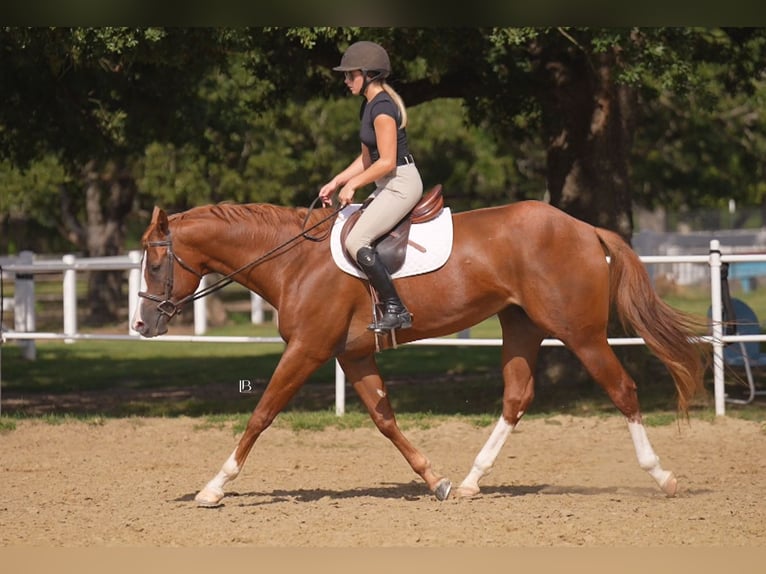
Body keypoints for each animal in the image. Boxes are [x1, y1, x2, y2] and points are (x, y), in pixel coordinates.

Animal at [132, 199, 707, 507]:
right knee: (516, 398)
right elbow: (385, 418)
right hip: (521, 326)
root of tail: (583, 227)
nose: (141, 325)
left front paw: (213, 487)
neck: (294, 261)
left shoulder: (307, 349)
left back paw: (663, 476)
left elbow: (261, 413)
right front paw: (437, 481)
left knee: (622, 389)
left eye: (156, 266)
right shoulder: (352, 356)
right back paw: (473, 481)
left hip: (580, 333)